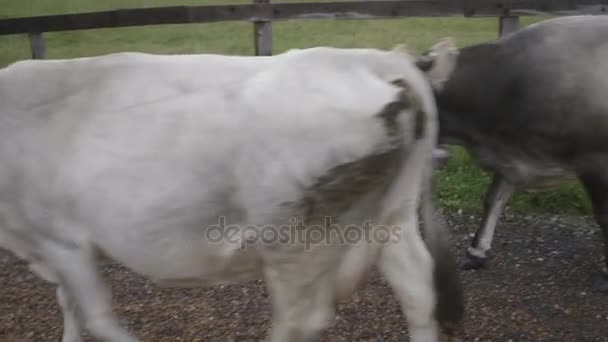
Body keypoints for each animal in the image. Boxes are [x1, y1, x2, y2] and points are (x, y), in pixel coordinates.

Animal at [0, 40, 460, 342]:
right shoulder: (54, 248)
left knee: (302, 318)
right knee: (418, 290)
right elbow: (69, 304)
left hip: (297, 237)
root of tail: (378, 59)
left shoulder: (61, 240)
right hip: (392, 216)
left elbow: (95, 316)